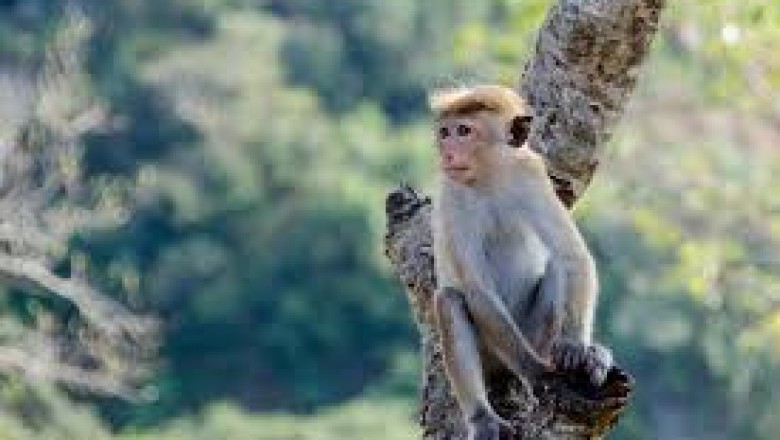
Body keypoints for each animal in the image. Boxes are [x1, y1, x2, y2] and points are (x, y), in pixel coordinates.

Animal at [429, 85, 612, 440]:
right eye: (445, 133)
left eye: (463, 131)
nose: (447, 153)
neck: (490, 177)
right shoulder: (453, 193)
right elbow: (477, 288)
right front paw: (537, 373)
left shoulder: (530, 174)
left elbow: (571, 255)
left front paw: (578, 347)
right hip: (493, 352)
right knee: (450, 300)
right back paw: (483, 417)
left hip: (533, 335)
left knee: (555, 267)